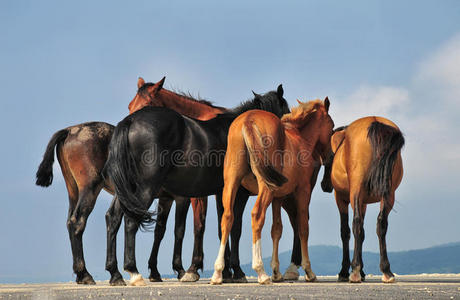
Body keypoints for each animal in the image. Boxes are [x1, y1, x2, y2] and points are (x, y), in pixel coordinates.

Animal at [35, 76, 226, 284]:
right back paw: (88, 274)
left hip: (74, 191)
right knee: (78, 221)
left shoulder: (167, 198)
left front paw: (156, 271)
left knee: (73, 222)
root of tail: (69, 131)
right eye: (130, 105)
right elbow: (189, 228)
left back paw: (90, 274)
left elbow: (161, 230)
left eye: (148, 103)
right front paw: (188, 269)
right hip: (91, 189)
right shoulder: (186, 197)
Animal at [105, 85, 290, 286]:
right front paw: (236, 271)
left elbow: (222, 224)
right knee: (131, 221)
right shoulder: (238, 192)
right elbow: (235, 227)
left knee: (113, 218)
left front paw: (225, 272)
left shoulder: (220, 192)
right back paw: (133, 272)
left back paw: (115, 273)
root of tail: (130, 122)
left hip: (127, 191)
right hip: (145, 188)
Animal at [210, 98, 332, 284]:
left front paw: (276, 272)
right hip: (265, 187)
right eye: (332, 126)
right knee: (257, 215)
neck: (300, 138)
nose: (329, 155)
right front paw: (309, 271)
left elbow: (276, 229)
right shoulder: (302, 191)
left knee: (227, 218)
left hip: (232, 182)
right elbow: (303, 227)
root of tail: (248, 120)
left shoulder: (278, 197)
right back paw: (260, 271)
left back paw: (217, 273)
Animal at [328, 118, 404, 284]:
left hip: (355, 190)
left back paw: (355, 270)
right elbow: (362, 233)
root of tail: (375, 122)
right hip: (388, 193)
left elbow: (346, 231)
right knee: (381, 223)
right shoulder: (363, 203)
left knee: (356, 223)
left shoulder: (341, 198)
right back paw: (386, 271)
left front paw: (346, 271)